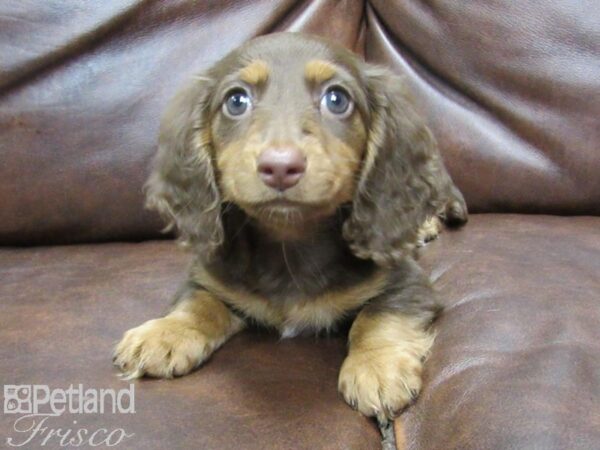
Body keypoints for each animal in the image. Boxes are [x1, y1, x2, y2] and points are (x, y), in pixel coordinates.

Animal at [113, 32, 467, 423]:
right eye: (236, 101)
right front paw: (164, 332)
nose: (280, 166)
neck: (289, 243)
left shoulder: (409, 282)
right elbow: (198, 301)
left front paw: (375, 367)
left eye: (337, 99)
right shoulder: (210, 275)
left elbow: (378, 314)